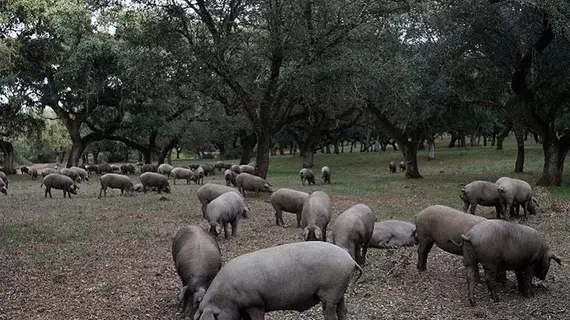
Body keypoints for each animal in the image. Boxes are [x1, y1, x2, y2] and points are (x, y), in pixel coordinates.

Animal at [193, 242, 362, 320]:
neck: (227, 298)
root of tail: (350, 260)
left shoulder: (255, 304)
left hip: (331, 289)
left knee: (331, 313)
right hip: (339, 291)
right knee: (342, 310)